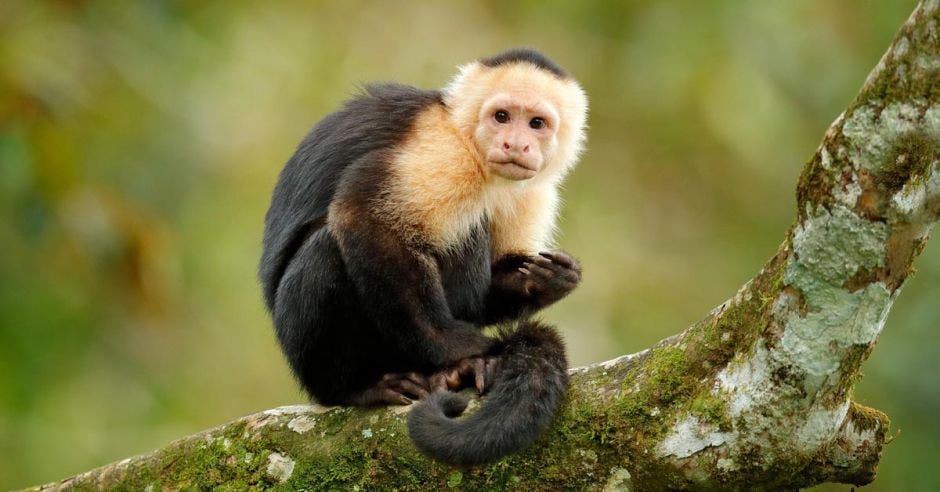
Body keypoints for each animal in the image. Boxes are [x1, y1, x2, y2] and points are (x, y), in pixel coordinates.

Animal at [258, 49, 588, 466]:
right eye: (502, 117)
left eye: (536, 124)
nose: (516, 144)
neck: (471, 147)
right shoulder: (443, 153)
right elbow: (365, 217)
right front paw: (458, 348)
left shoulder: (534, 191)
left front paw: (546, 282)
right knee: (330, 249)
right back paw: (358, 387)